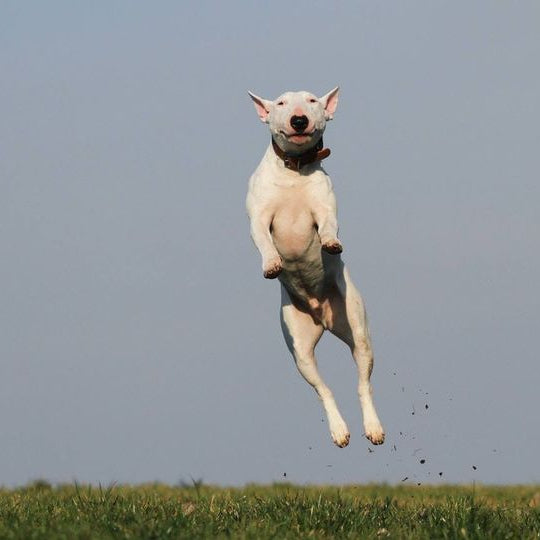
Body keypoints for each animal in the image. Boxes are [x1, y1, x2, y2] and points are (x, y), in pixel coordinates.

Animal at [247, 85, 386, 448]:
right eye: (281, 103)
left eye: (312, 100)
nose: (299, 120)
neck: (294, 171)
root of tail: (322, 316)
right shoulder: (258, 216)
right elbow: (263, 240)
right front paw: (272, 264)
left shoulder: (323, 208)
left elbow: (327, 225)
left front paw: (331, 244)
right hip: (299, 350)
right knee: (323, 389)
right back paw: (339, 430)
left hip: (357, 328)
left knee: (363, 383)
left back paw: (372, 428)